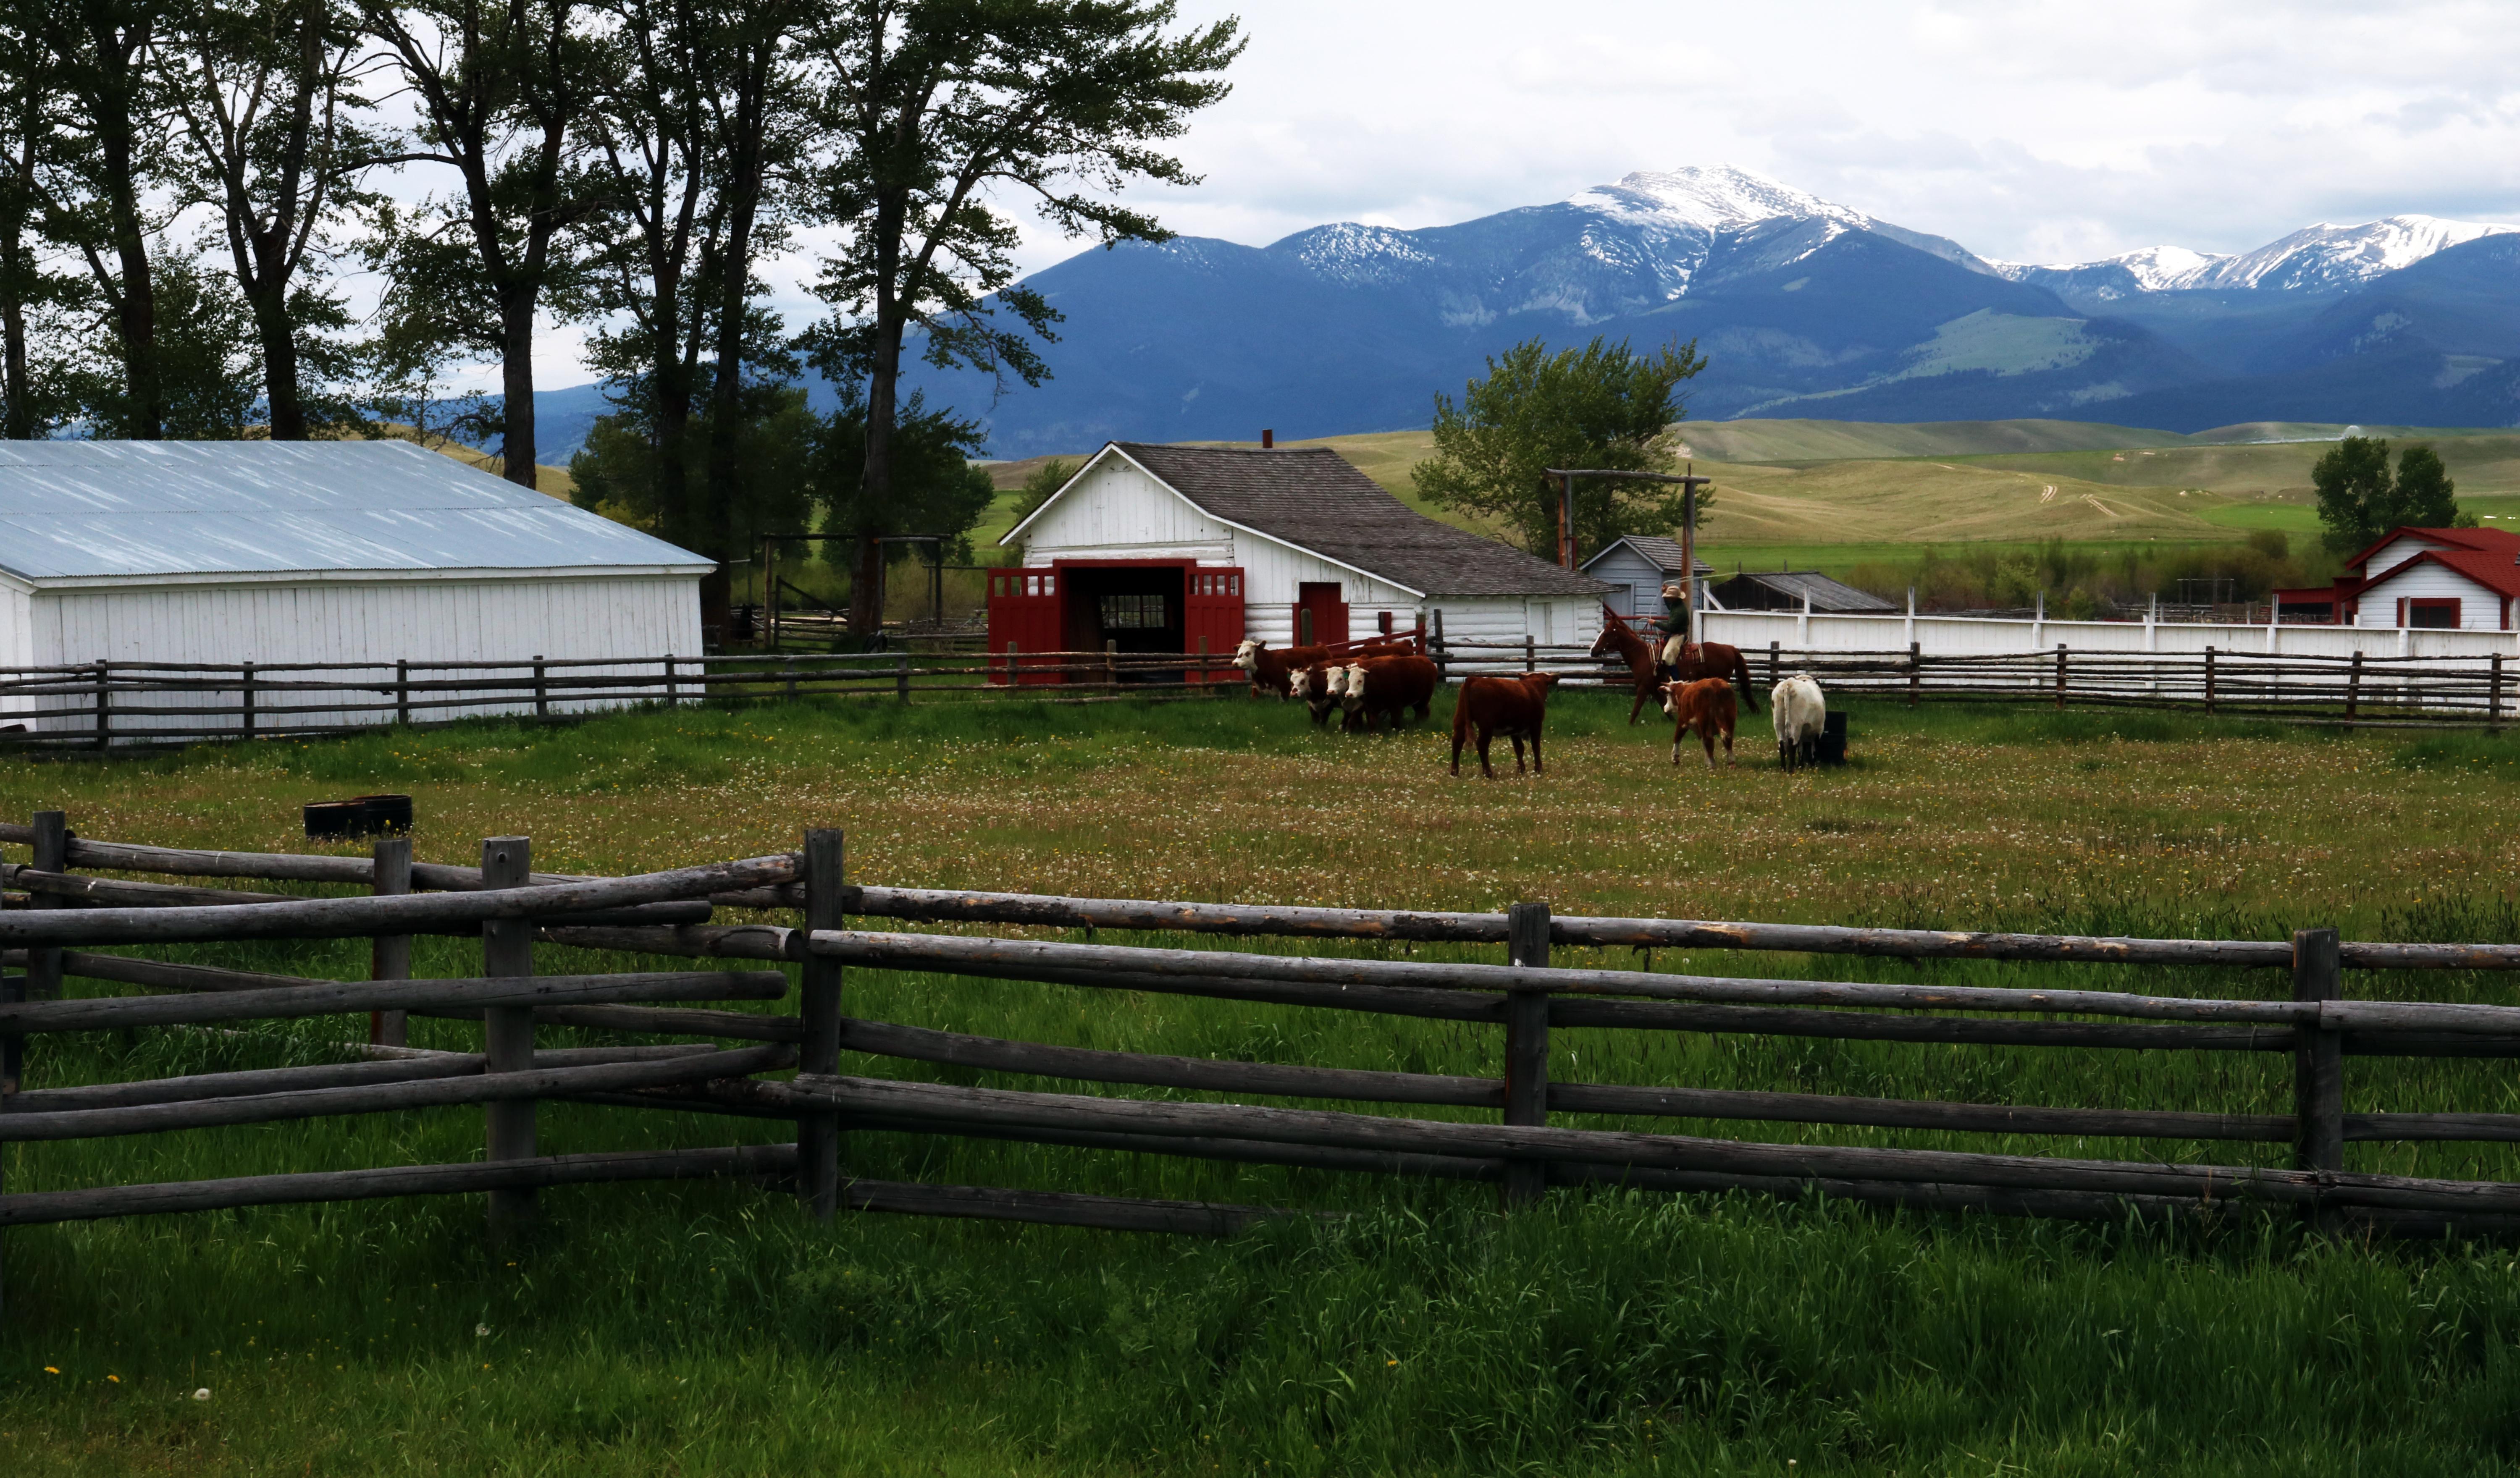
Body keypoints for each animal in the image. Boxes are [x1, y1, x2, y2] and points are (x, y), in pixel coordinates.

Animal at [1341, 655, 1441, 735]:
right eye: (1349, 680)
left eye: (1360, 681)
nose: (1349, 694)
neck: (1375, 681)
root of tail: (1428, 661)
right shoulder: (1371, 708)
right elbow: (1372, 723)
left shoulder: (1396, 706)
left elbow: (1395, 722)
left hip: (1424, 699)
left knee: (1420, 713)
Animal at [1462, 675, 1552, 780]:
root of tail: (1473, 679)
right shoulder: (1536, 725)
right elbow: (1536, 747)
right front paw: (1538, 769)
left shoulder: (1515, 731)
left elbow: (1519, 749)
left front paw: (1521, 770)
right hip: (1486, 727)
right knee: (1482, 745)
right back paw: (1488, 773)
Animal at [1583, 609, 1764, 725]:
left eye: (1606, 634)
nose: (1592, 651)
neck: (1641, 655)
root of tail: (1730, 648)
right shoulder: (1655, 689)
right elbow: (1665, 709)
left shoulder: (1644, 688)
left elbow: (1636, 710)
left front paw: (1630, 725)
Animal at [1663, 685, 1744, 775]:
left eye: (1667, 696)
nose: (1665, 708)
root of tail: (1715, 685)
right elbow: (1704, 745)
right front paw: (1707, 762)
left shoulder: (1682, 722)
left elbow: (1677, 738)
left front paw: (1675, 759)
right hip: (1730, 720)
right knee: (1728, 740)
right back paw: (1731, 763)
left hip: (1704, 722)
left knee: (1709, 741)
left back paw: (1713, 765)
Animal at [1774, 675, 1835, 775]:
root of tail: (1789, 683)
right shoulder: (1818, 731)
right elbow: (1813, 749)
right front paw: (1813, 766)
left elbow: (1801, 749)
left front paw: (1801, 766)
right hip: (1796, 724)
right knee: (1793, 743)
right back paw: (1791, 770)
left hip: (1778, 723)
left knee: (1782, 744)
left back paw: (1783, 769)